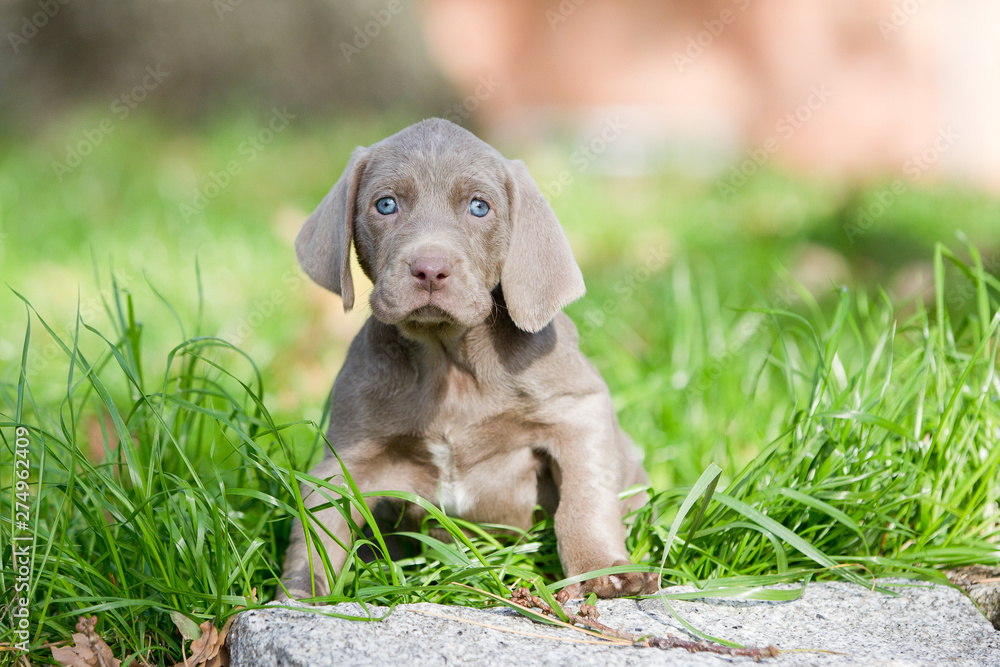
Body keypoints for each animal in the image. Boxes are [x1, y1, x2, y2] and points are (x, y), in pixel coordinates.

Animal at [280, 117, 656, 604]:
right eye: (386, 204)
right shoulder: (346, 453)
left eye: (479, 207)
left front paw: (602, 571)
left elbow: (584, 496)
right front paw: (302, 592)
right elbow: (318, 524)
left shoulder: (578, 409)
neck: (449, 361)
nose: (429, 268)